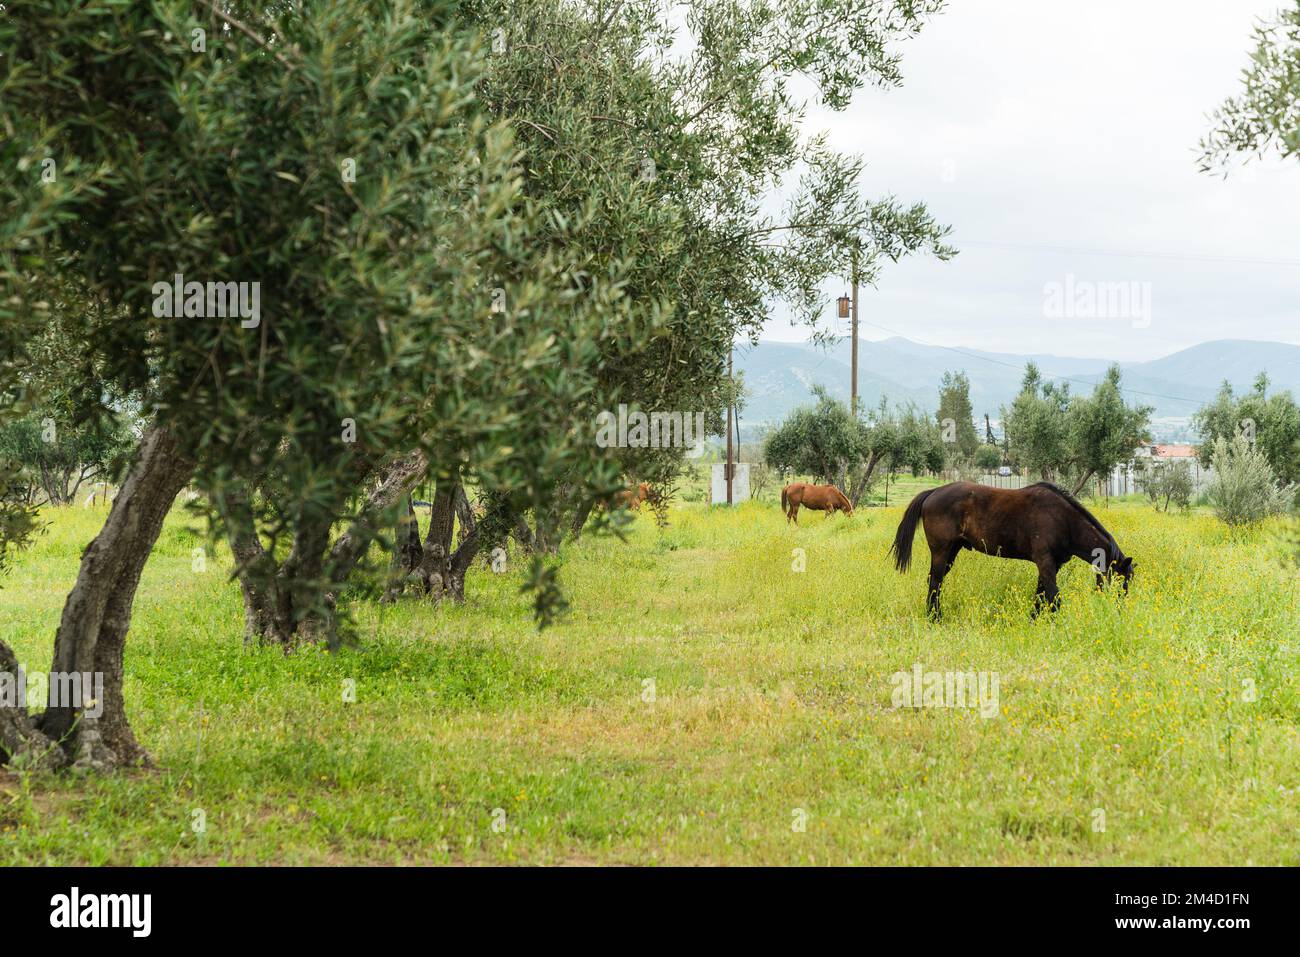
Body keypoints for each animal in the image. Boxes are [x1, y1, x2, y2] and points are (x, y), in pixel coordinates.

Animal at [890, 481, 1134, 618]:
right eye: (1121, 580)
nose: (1120, 609)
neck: (1063, 519)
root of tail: (933, 492)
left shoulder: (1051, 565)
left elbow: (1041, 595)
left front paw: (1034, 619)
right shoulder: (1045, 561)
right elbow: (1053, 597)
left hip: (951, 551)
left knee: (934, 582)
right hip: (942, 551)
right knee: (935, 582)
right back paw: (935, 618)